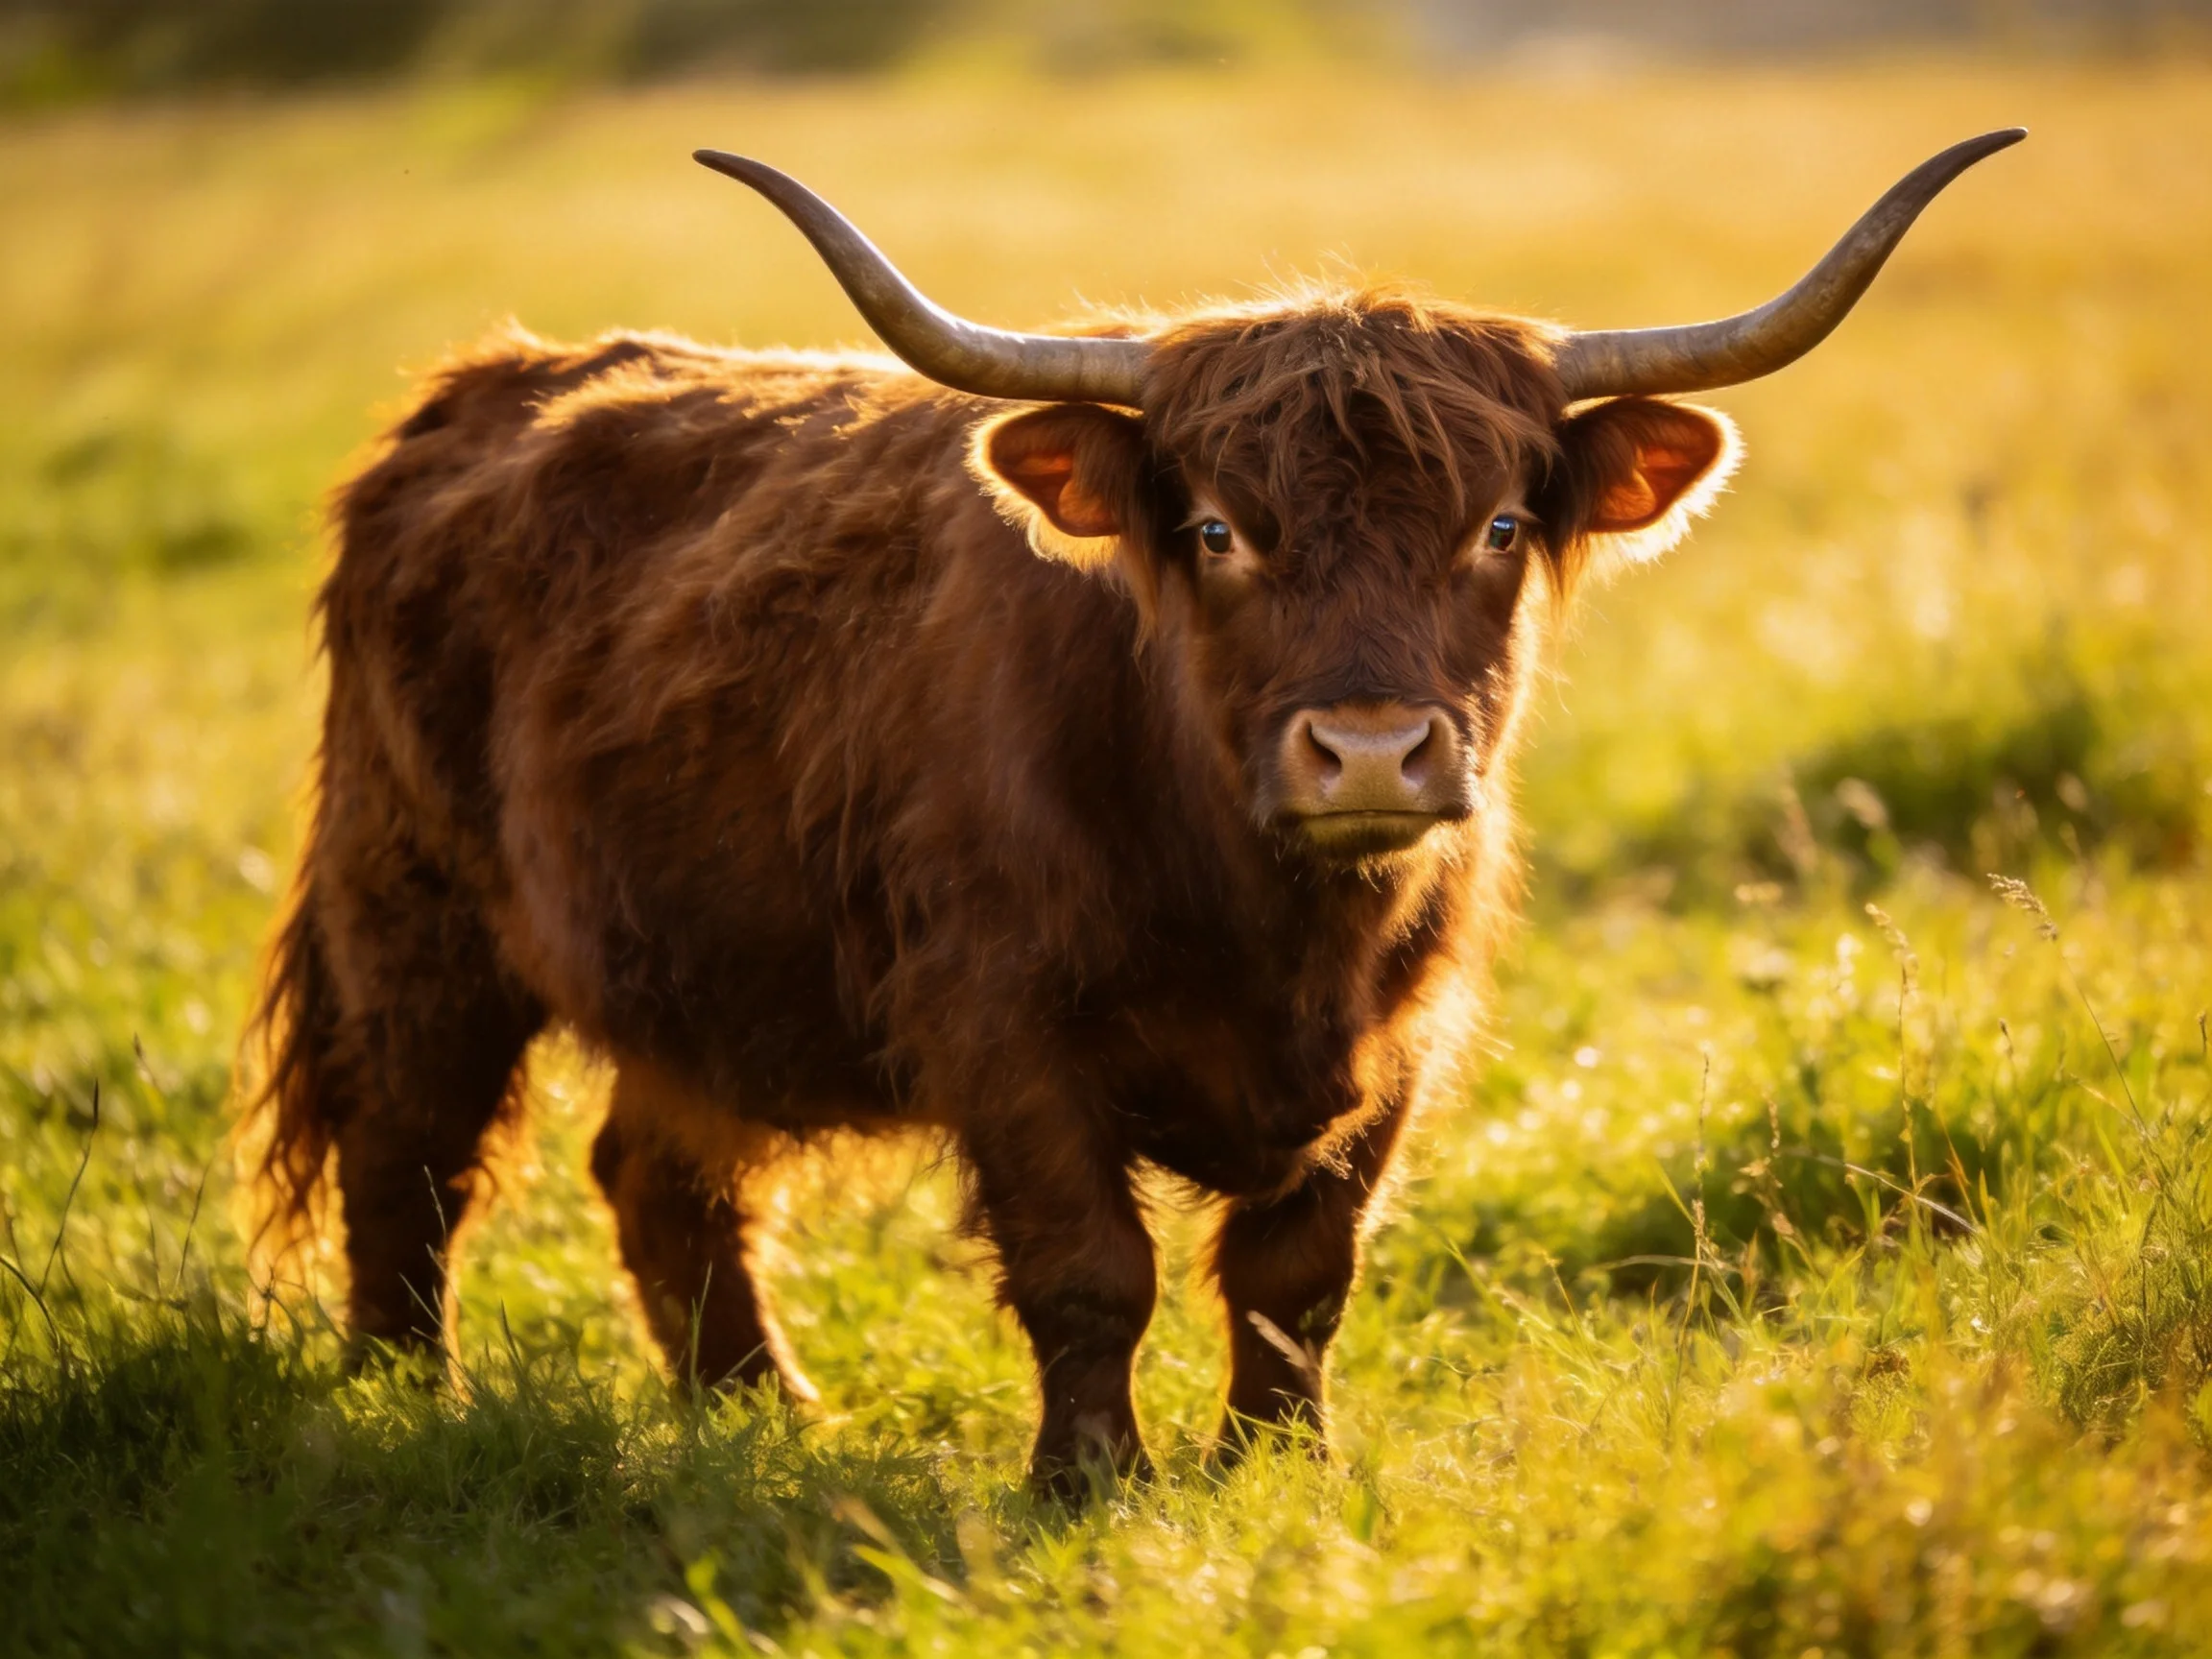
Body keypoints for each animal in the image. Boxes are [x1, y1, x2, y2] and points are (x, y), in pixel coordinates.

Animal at [246, 130, 2020, 1495]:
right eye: (1221, 529)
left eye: (1500, 526)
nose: (1368, 753)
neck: (1269, 926)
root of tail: (483, 387)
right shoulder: (999, 1024)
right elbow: (1093, 1268)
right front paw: (1089, 1480)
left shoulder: (1402, 1038)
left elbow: (1298, 1274)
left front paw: (1276, 1464)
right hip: (410, 903)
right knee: (410, 1144)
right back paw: (405, 1399)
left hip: (697, 974)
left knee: (656, 1173)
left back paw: (760, 1411)